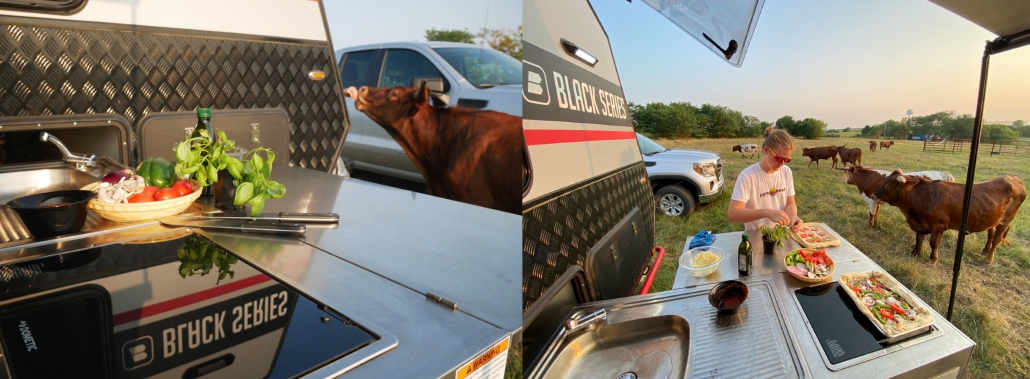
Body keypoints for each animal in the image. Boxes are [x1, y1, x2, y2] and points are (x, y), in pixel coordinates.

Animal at [873, 170, 1025, 263]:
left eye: (887, 186)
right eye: (884, 182)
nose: (873, 195)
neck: (922, 196)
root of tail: (1014, 179)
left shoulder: (938, 226)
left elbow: (933, 243)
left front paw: (933, 259)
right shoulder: (920, 224)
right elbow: (919, 239)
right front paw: (915, 253)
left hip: (1006, 221)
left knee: (997, 239)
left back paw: (988, 258)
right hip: (992, 219)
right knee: (991, 235)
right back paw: (984, 251)